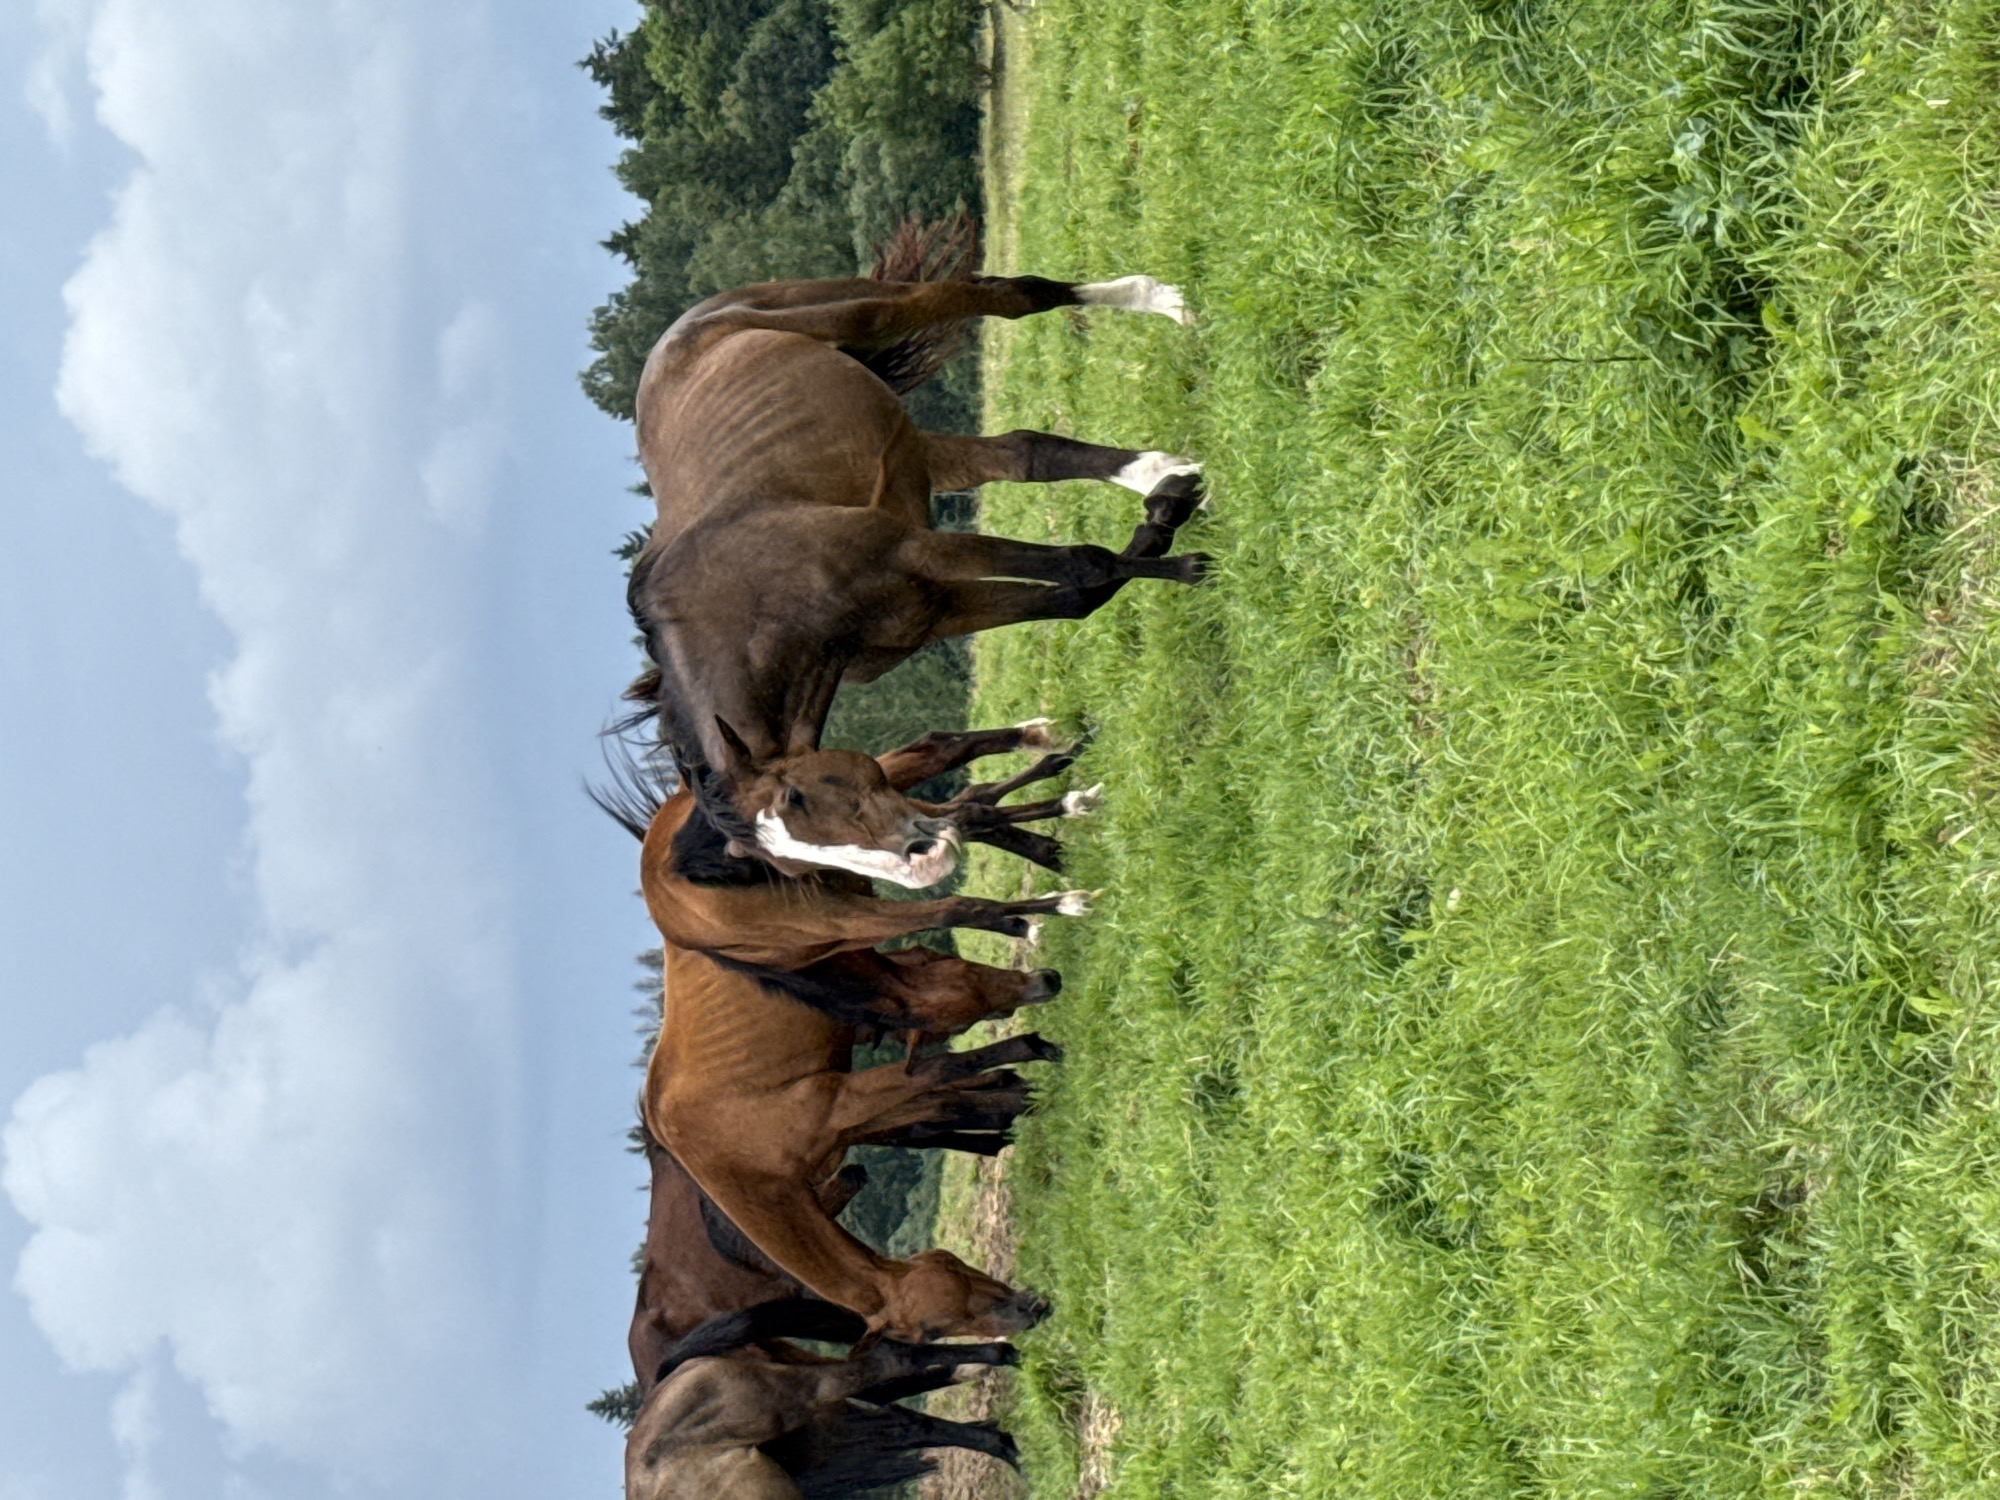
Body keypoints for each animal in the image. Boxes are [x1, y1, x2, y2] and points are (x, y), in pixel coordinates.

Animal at [623, 266, 1207, 884]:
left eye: (794, 799)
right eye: (787, 867)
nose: (924, 864)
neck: (752, 601)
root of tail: (687, 326)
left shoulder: (918, 553)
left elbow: (1082, 564)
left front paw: (1189, 565)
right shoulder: (933, 610)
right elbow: (1078, 596)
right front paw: (1160, 526)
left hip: (866, 311)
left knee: (1010, 296)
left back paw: (1157, 302)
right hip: (920, 451)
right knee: (1025, 452)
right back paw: (1164, 473)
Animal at [627, 1301, 1020, 1500]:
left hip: (792, 1399)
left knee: (888, 1365)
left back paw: (1001, 1356)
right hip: (826, 1432)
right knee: (907, 1421)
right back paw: (1008, 1444)